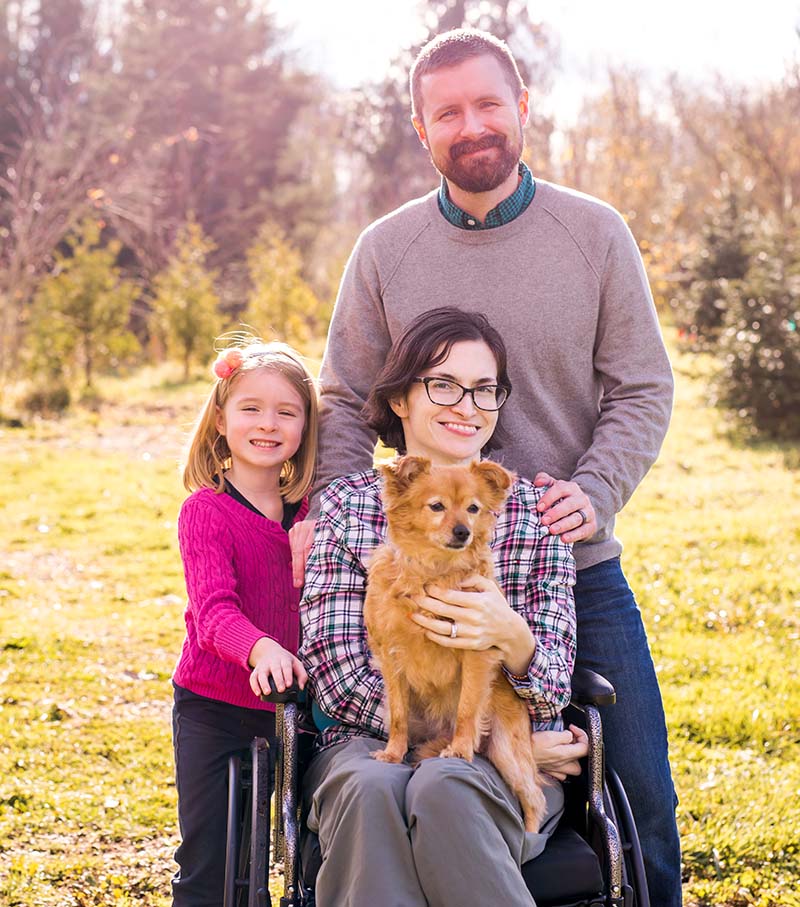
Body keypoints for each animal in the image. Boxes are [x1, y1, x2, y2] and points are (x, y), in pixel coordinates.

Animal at [364, 458, 548, 832]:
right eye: (437, 507)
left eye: (473, 509)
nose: (463, 531)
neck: (435, 571)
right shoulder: (391, 658)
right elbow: (398, 716)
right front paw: (392, 753)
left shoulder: (476, 653)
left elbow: (466, 709)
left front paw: (461, 749)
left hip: (507, 752)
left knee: (534, 799)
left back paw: (532, 835)